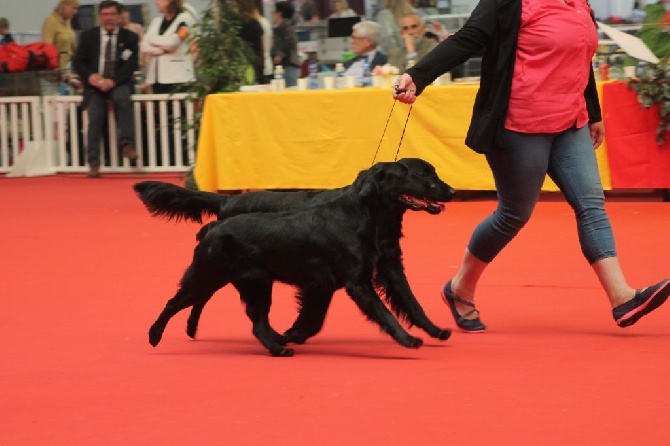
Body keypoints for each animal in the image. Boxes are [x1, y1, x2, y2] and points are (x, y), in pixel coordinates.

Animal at [146, 160, 456, 356]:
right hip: (210, 274)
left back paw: (276, 346)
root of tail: (216, 221)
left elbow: (410, 303)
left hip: (250, 282)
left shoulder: (366, 273)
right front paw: (408, 340)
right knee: (175, 302)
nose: (451, 191)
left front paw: (433, 330)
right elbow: (385, 314)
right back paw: (155, 335)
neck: (360, 215)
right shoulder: (356, 283)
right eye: (412, 174)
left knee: (254, 322)